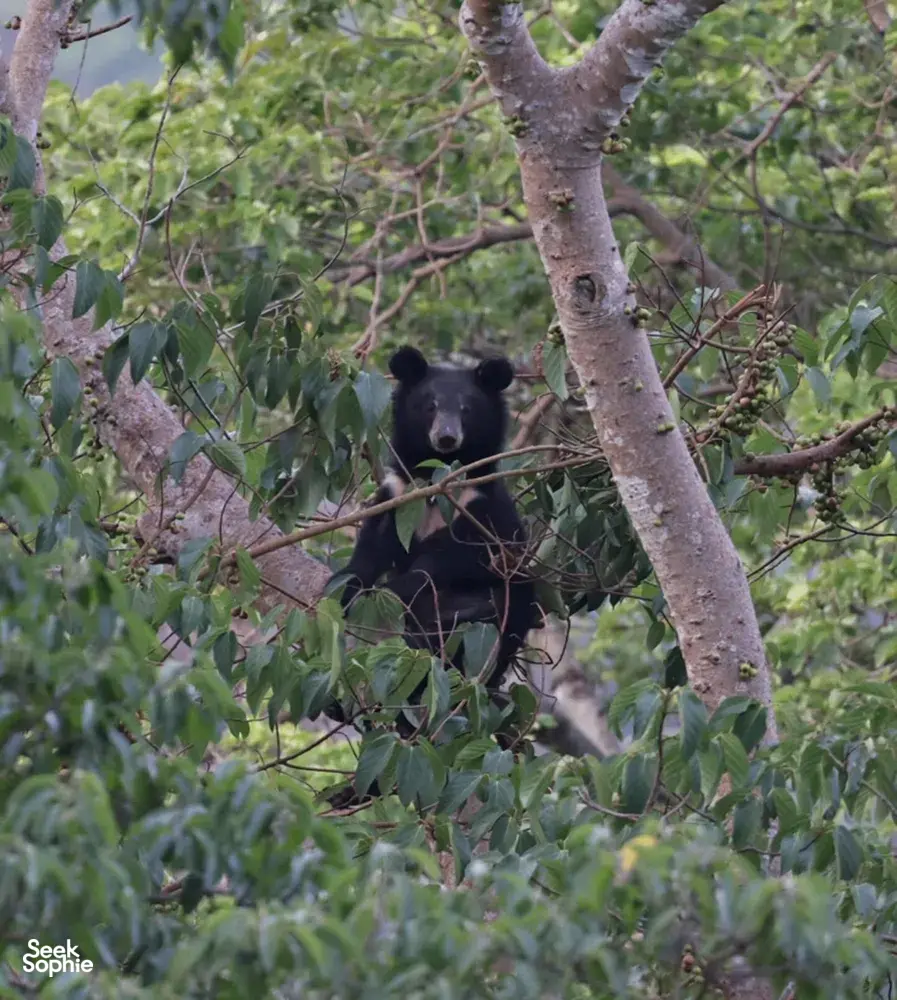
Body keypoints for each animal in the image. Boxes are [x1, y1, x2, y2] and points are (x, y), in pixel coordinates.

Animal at [327, 344, 541, 739]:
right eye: (430, 405)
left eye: (467, 409)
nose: (446, 437)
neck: (436, 478)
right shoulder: (397, 497)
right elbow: (369, 553)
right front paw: (344, 588)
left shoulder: (482, 508)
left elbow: (472, 556)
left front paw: (397, 588)